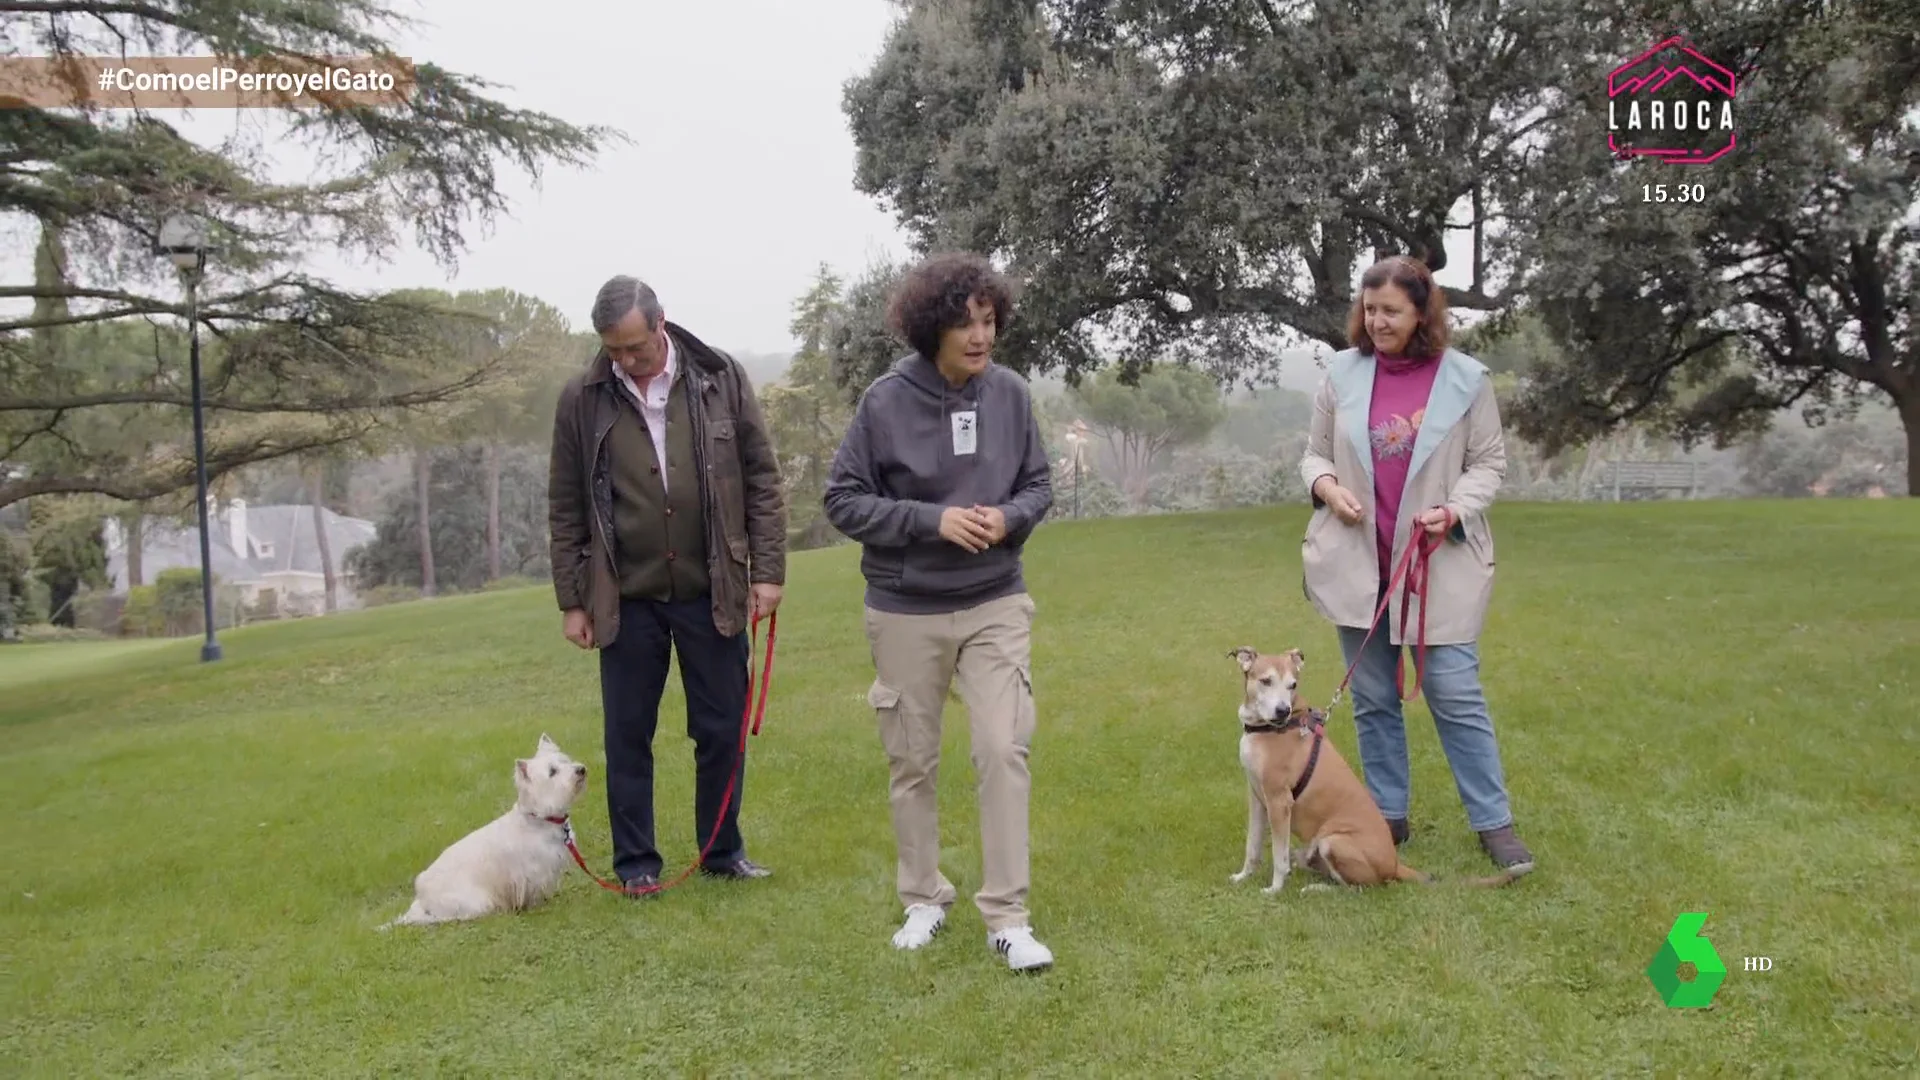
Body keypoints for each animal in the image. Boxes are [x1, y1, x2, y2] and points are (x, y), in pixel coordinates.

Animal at [376, 730, 579, 926]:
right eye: (552, 771)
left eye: (565, 760)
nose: (581, 769)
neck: (539, 818)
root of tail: (423, 897)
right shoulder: (530, 874)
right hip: (475, 903)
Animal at [1228, 641, 1512, 887]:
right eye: (1265, 681)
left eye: (1292, 684)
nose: (1282, 710)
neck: (1269, 727)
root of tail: (1395, 864)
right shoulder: (1258, 797)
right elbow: (1252, 845)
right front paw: (1243, 877)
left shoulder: (1279, 802)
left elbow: (1280, 856)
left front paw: (1275, 889)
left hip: (1333, 841)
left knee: (1359, 888)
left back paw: (1317, 889)